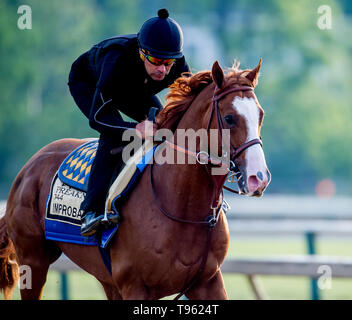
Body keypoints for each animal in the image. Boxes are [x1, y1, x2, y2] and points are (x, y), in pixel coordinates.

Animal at [0, 60, 270, 300]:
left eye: (260, 115)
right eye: (229, 118)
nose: (259, 178)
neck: (182, 206)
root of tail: (29, 166)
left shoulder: (207, 282)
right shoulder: (136, 286)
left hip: (105, 278)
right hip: (33, 260)